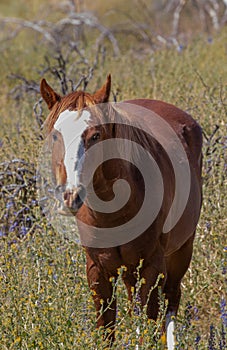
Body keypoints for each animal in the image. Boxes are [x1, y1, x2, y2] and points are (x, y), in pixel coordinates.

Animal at [40, 75, 202, 348]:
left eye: (95, 135)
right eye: (55, 136)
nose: (70, 195)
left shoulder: (151, 267)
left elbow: (148, 324)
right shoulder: (98, 271)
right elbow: (107, 330)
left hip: (181, 252)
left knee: (170, 301)